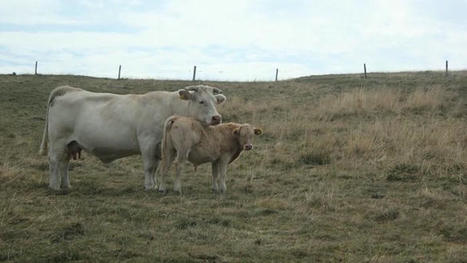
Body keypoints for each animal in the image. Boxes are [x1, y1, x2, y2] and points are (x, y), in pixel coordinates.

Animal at [38, 85, 227, 191]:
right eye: (202, 101)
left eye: (215, 101)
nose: (217, 118)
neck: (169, 107)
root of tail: (68, 91)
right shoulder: (148, 142)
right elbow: (149, 167)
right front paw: (149, 186)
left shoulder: (158, 147)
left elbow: (155, 167)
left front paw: (155, 184)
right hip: (58, 141)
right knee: (54, 161)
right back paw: (54, 186)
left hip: (70, 144)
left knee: (64, 163)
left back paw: (66, 185)